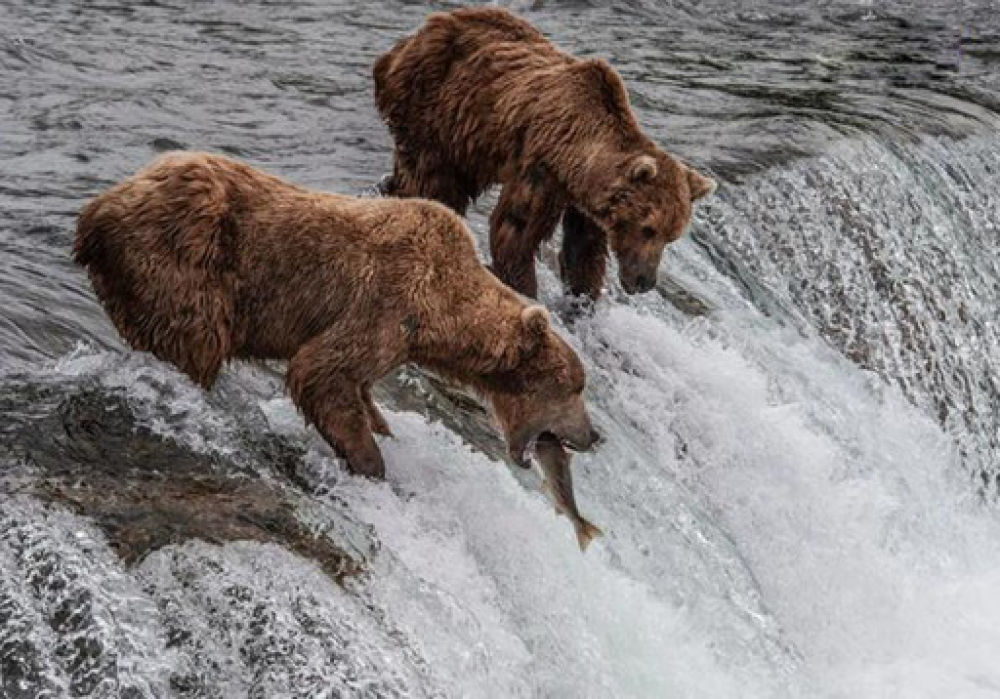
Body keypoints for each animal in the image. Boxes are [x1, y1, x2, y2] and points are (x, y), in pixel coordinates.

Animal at [74, 153, 600, 482]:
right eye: (573, 387)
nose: (594, 435)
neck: (439, 311)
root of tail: (95, 212)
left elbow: (359, 389)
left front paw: (381, 428)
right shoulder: (386, 303)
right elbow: (321, 371)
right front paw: (371, 462)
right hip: (182, 258)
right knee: (196, 341)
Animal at [372, 5, 716, 300]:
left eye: (671, 236)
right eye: (648, 228)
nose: (645, 282)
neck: (576, 156)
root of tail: (407, 41)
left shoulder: (586, 199)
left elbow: (584, 251)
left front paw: (582, 298)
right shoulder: (541, 170)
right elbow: (515, 229)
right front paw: (524, 287)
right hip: (434, 111)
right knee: (433, 181)